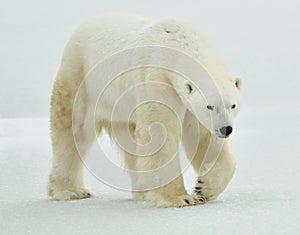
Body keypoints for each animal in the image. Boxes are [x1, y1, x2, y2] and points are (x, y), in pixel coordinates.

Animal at [48, 13, 243, 207]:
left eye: (232, 105)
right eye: (209, 106)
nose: (226, 129)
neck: (177, 44)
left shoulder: (189, 104)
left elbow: (202, 137)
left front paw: (203, 189)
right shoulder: (157, 78)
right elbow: (161, 134)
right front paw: (180, 197)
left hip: (121, 109)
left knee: (130, 143)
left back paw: (142, 192)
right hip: (83, 80)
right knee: (73, 130)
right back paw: (71, 191)